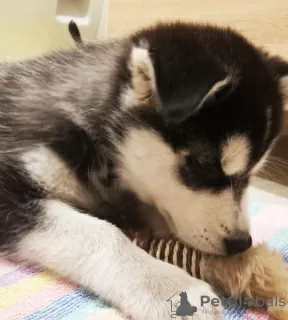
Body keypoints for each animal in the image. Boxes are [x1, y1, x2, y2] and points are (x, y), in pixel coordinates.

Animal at [0, 21, 286, 318]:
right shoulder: (8, 190)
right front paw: (170, 287)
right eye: (203, 164)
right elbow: (103, 234)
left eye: (253, 173)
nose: (241, 243)